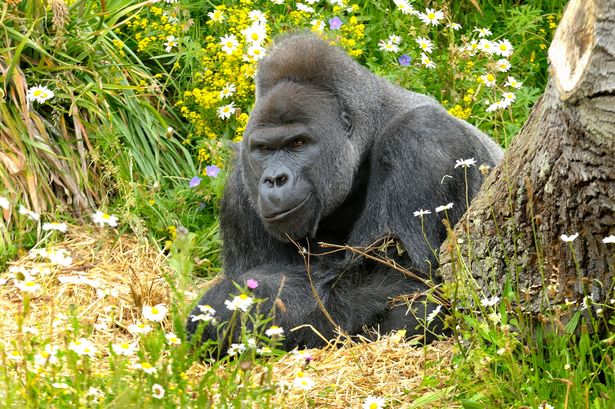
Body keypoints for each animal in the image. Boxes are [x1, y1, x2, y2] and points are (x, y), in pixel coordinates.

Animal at [185, 31, 502, 350]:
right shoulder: (241, 186)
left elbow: (408, 281)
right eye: (263, 149)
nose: (275, 178)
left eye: (298, 144)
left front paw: (225, 307)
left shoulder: (422, 137)